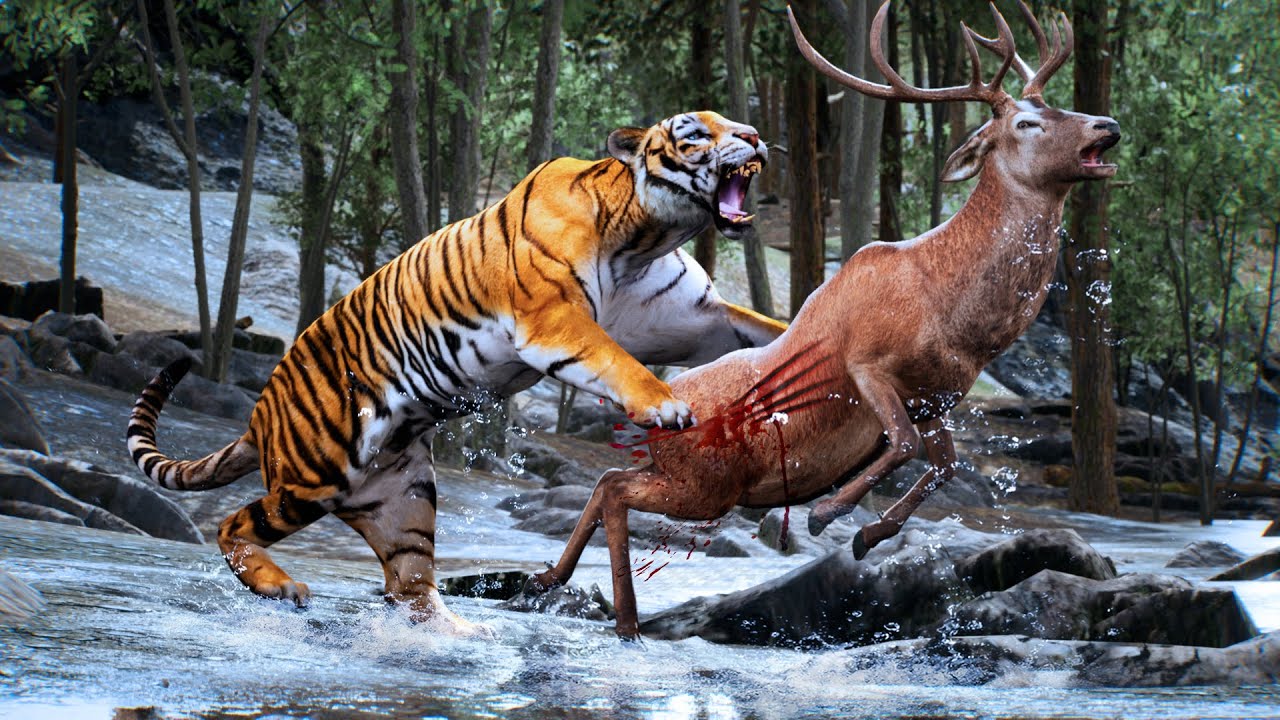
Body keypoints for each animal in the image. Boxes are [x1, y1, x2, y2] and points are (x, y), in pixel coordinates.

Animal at [127, 111, 785, 635]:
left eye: (733, 121)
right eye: (696, 132)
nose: (755, 135)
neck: (642, 239)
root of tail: (258, 415)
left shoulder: (697, 323)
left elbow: (767, 328)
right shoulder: (554, 321)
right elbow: (615, 360)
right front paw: (666, 405)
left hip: (404, 498)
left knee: (407, 585)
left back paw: (461, 634)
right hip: (316, 474)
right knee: (231, 525)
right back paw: (282, 586)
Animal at [525, 0, 1121, 640]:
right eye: (1027, 123)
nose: (1107, 124)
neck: (958, 322)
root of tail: (653, 413)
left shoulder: (936, 396)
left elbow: (942, 465)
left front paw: (868, 534)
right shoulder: (865, 363)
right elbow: (904, 443)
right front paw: (829, 514)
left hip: (691, 479)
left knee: (607, 481)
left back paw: (554, 581)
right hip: (707, 482)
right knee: (616, 488)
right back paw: (626, 619)